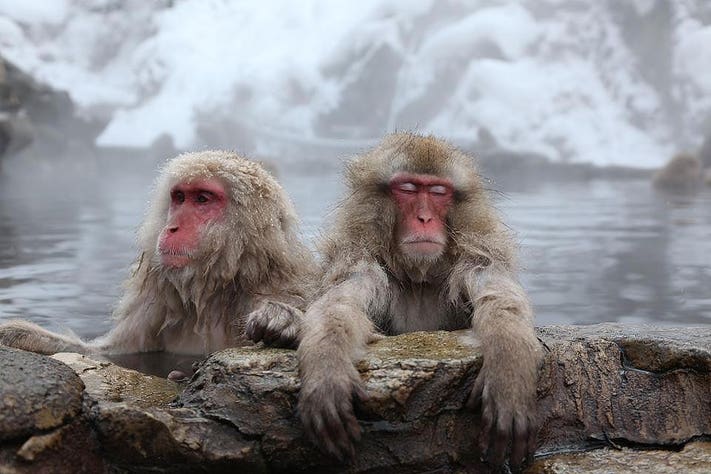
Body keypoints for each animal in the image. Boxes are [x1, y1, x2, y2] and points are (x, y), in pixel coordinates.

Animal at [0, 150, 313, 356]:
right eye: (180, 197)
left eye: (202, 199)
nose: (172, 227)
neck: (214, 291)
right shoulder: (157, 301)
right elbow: (113, 351)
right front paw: (22, 335)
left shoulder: (280, 288)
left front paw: (283, 322)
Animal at [297, 133, 543, 470]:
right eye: (409, 188)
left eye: (438, 191)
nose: (424, 218)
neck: (419, 279)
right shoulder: (359, 261)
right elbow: (338, 306)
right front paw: (326, 371)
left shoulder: (477, 258)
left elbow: (499, 299)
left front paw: (510, 373)